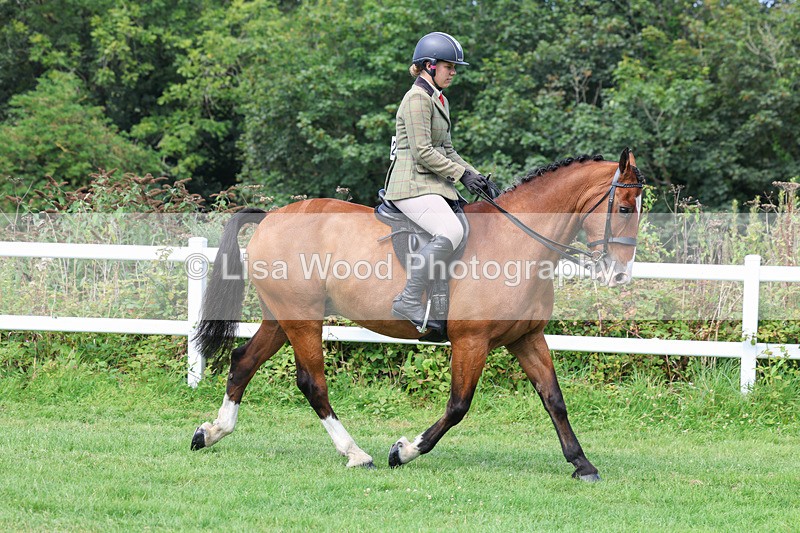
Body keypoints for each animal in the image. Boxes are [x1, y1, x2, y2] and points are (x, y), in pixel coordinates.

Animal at [190, 148, 644, 481]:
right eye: (624, 208)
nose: (620, 275)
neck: (517, 242)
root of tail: (271, 217)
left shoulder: (525, 338)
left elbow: (554, 399)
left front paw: (582, 464)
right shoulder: (472, 341)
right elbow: (459, 405)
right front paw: (404, 451)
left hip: (282, 317)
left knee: (243, 361)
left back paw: (211, 432)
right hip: (302, 319)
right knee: (311, 383)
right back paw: (357, 454)